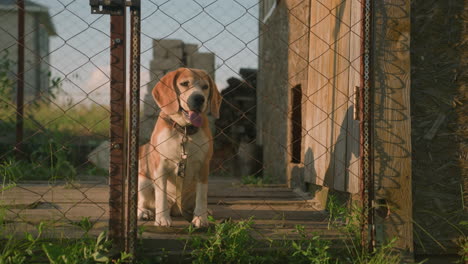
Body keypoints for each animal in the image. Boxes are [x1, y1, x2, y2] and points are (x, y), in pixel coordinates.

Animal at [138, 67, 222, 227]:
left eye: (205, 87)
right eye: (184, 83)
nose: (199, 98)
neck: (184, 131)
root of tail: (176, 208)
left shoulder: (203, 166)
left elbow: (202, 196)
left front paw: (200, 218)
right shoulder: (161, 167)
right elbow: (161, 195)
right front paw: (162, 219)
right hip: (143, 180)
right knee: (142, 202)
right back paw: (144, 212)